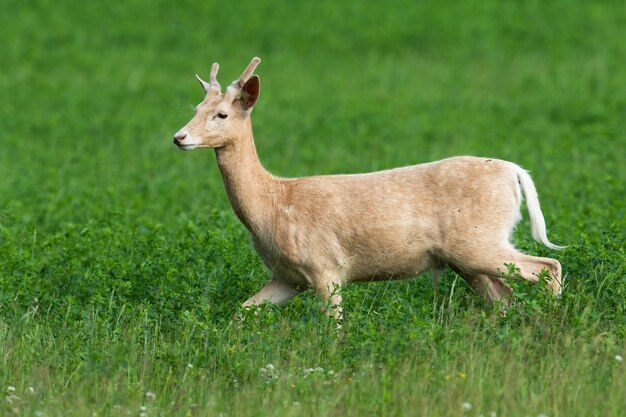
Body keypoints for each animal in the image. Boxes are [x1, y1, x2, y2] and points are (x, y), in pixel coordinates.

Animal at [173, 57, 564, 320]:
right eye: (196, 107)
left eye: (222, 114)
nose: (180, 137)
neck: (273, 203)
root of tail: (515, 172)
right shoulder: (287, 276)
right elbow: (241, 313)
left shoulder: (325, 266)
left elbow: (332, 329)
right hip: (466, 258)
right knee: (505, 300)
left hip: (478, 241)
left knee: (550, 266)